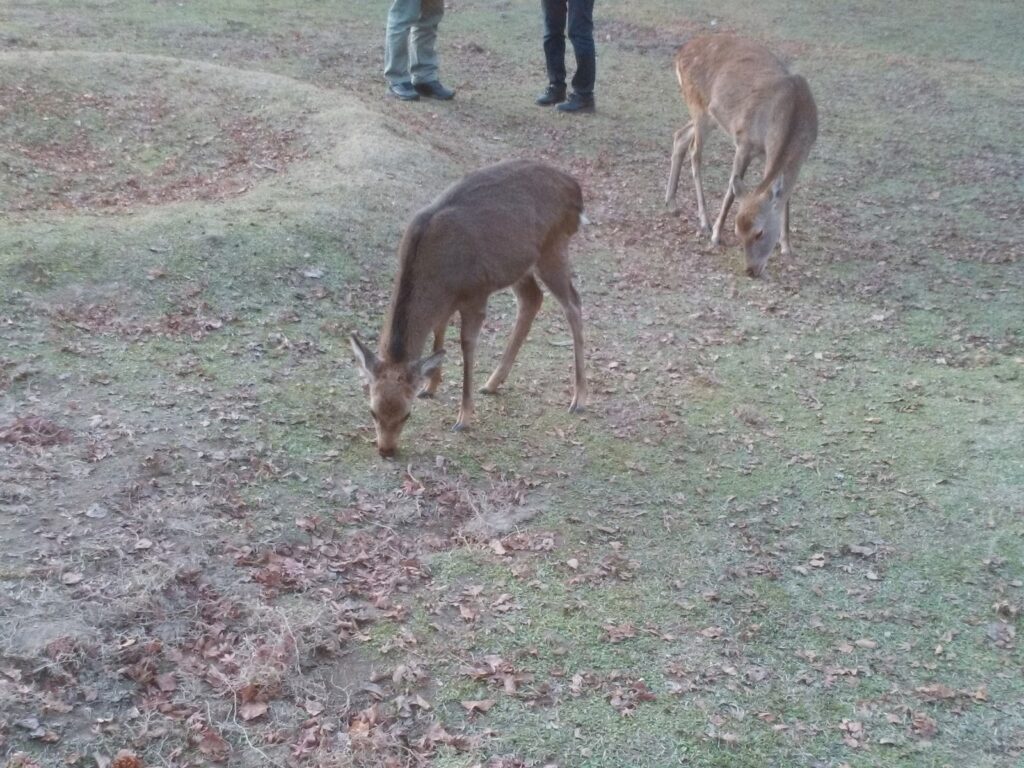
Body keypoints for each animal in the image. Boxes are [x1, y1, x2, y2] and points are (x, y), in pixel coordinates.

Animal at [352, 156, 589, 456]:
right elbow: (439, 332)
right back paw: (492, 383)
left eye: (407, 414)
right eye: (372, 411)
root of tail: (575, 190)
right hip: (518, 266)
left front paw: (463, 418)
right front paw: (431, 385)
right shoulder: (447, 301)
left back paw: (578, 398)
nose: (386, 449)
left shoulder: (476, 293)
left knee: (573, 303)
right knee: (532, 299)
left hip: (554, 247)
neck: (439, 275)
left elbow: (466, 345)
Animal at [667, 34, 819, 280]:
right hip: (698, 106)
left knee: (679, 136)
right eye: (738, 232)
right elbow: (731, 189)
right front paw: (717, 234)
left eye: (760, 232)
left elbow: (785, 197)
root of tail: (681, 52)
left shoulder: (790, 154)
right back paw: (704, 221)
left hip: (710, 117)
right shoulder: (744, 141)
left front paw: (787, 247)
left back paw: (671, 203)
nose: (751, 270)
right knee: (695, 152)